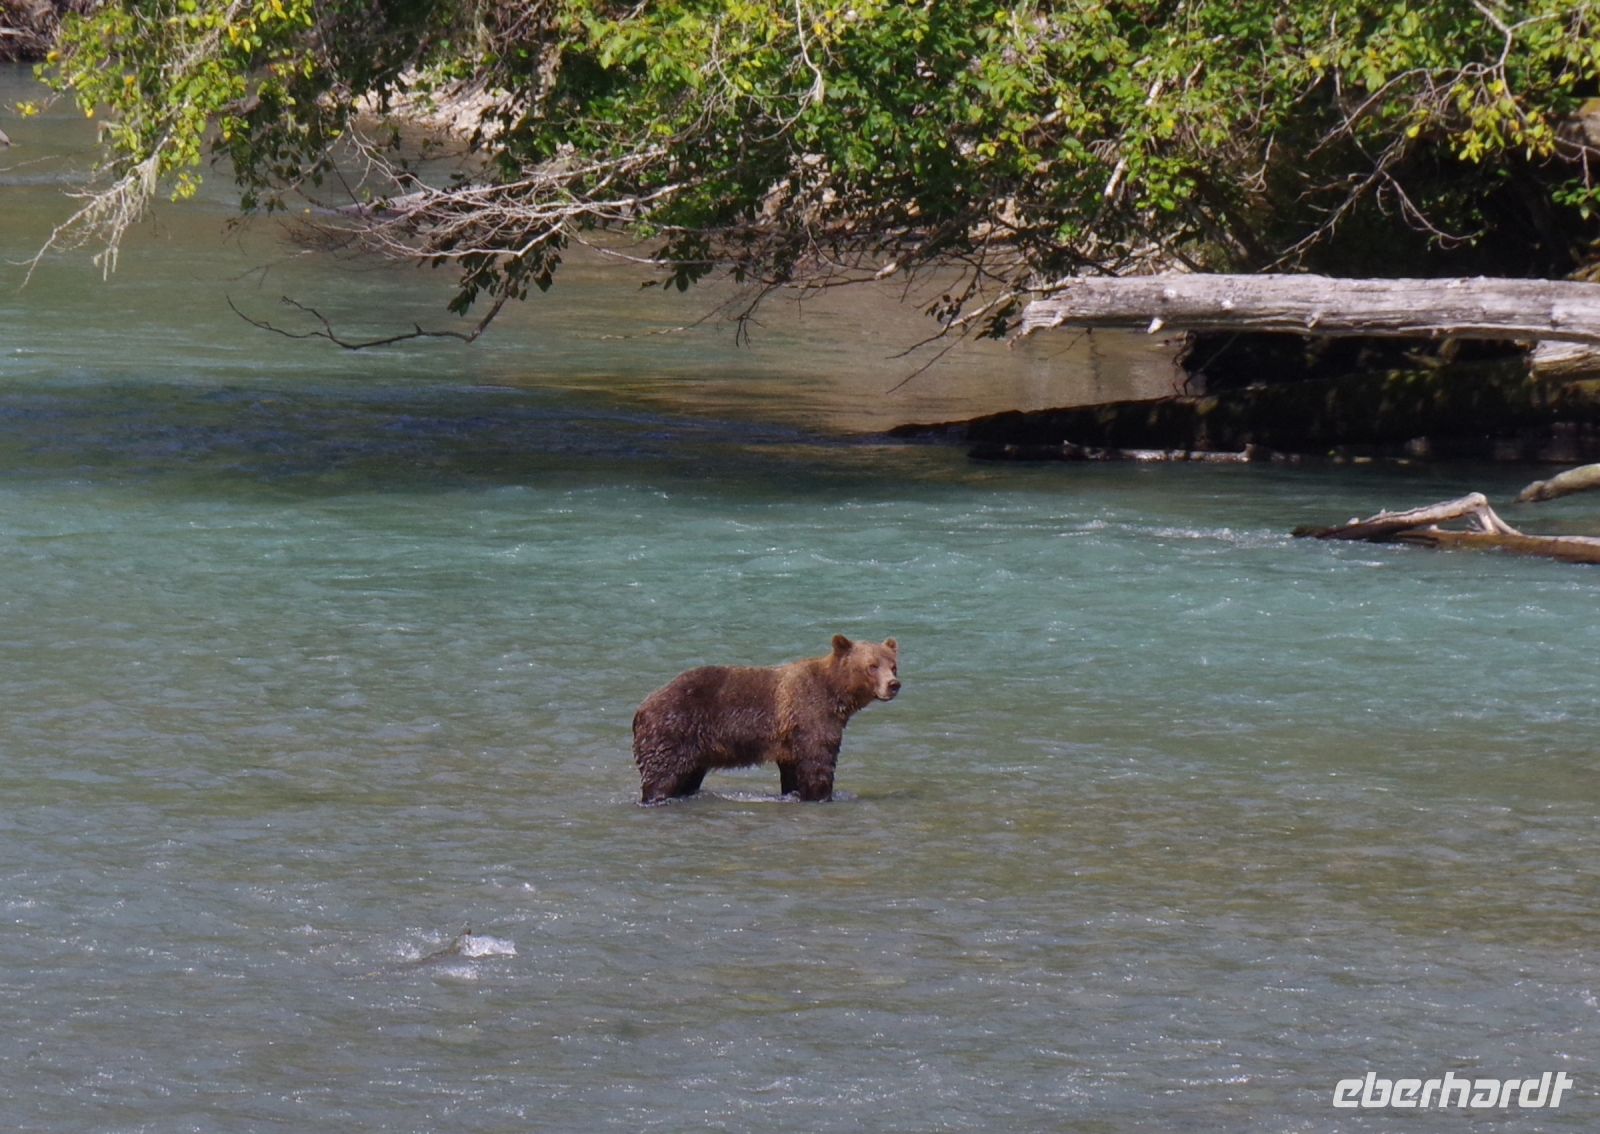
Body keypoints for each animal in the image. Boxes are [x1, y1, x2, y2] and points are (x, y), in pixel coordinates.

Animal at [632, 635, 901, 804]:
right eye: (872, 666)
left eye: (893, 665)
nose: (893, 685)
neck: (836, 695)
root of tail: (642, 707)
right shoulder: (811, 716)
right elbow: (818, 764)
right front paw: (822, 795)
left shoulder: (791, 741)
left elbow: (793, 772)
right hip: (673, 731)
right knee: (662, 776)